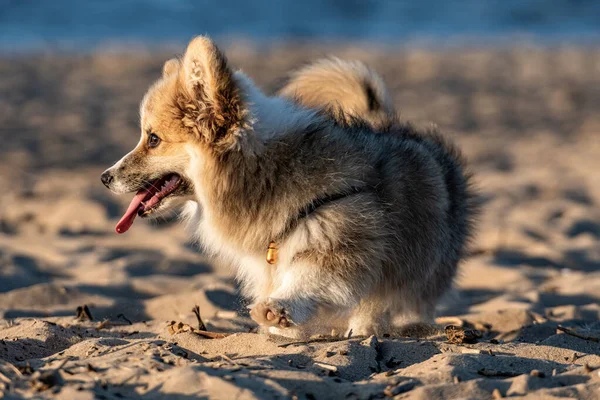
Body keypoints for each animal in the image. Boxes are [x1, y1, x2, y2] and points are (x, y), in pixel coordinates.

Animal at [104, 36, 478, 338]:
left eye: (153, 139)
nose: (105, 178)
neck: (267, 171)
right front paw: (279, 329)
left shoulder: (342, 233)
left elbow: (308, 277)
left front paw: (278, 310)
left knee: (394, 300)